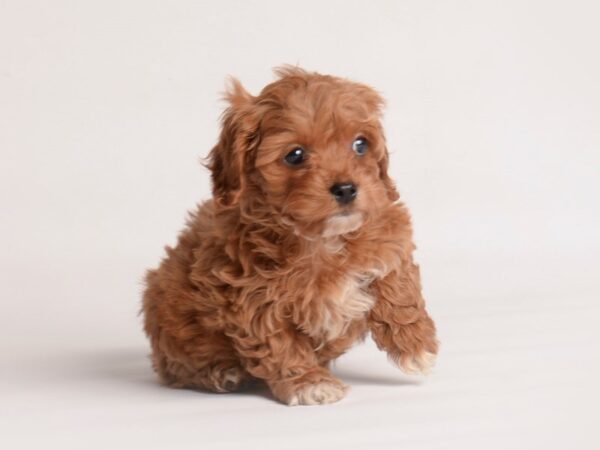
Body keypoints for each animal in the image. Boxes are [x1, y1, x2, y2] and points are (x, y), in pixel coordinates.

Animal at [143, 67, 438, 408]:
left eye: (360, 145)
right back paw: (220, 373)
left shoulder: (387, 231)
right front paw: (309, 383)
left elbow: (398, 285)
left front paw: (416, 346)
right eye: (295, 155)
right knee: (177, 367)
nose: (346, 189)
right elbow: (281, 344)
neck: (322, 240)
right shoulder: (254, 299)